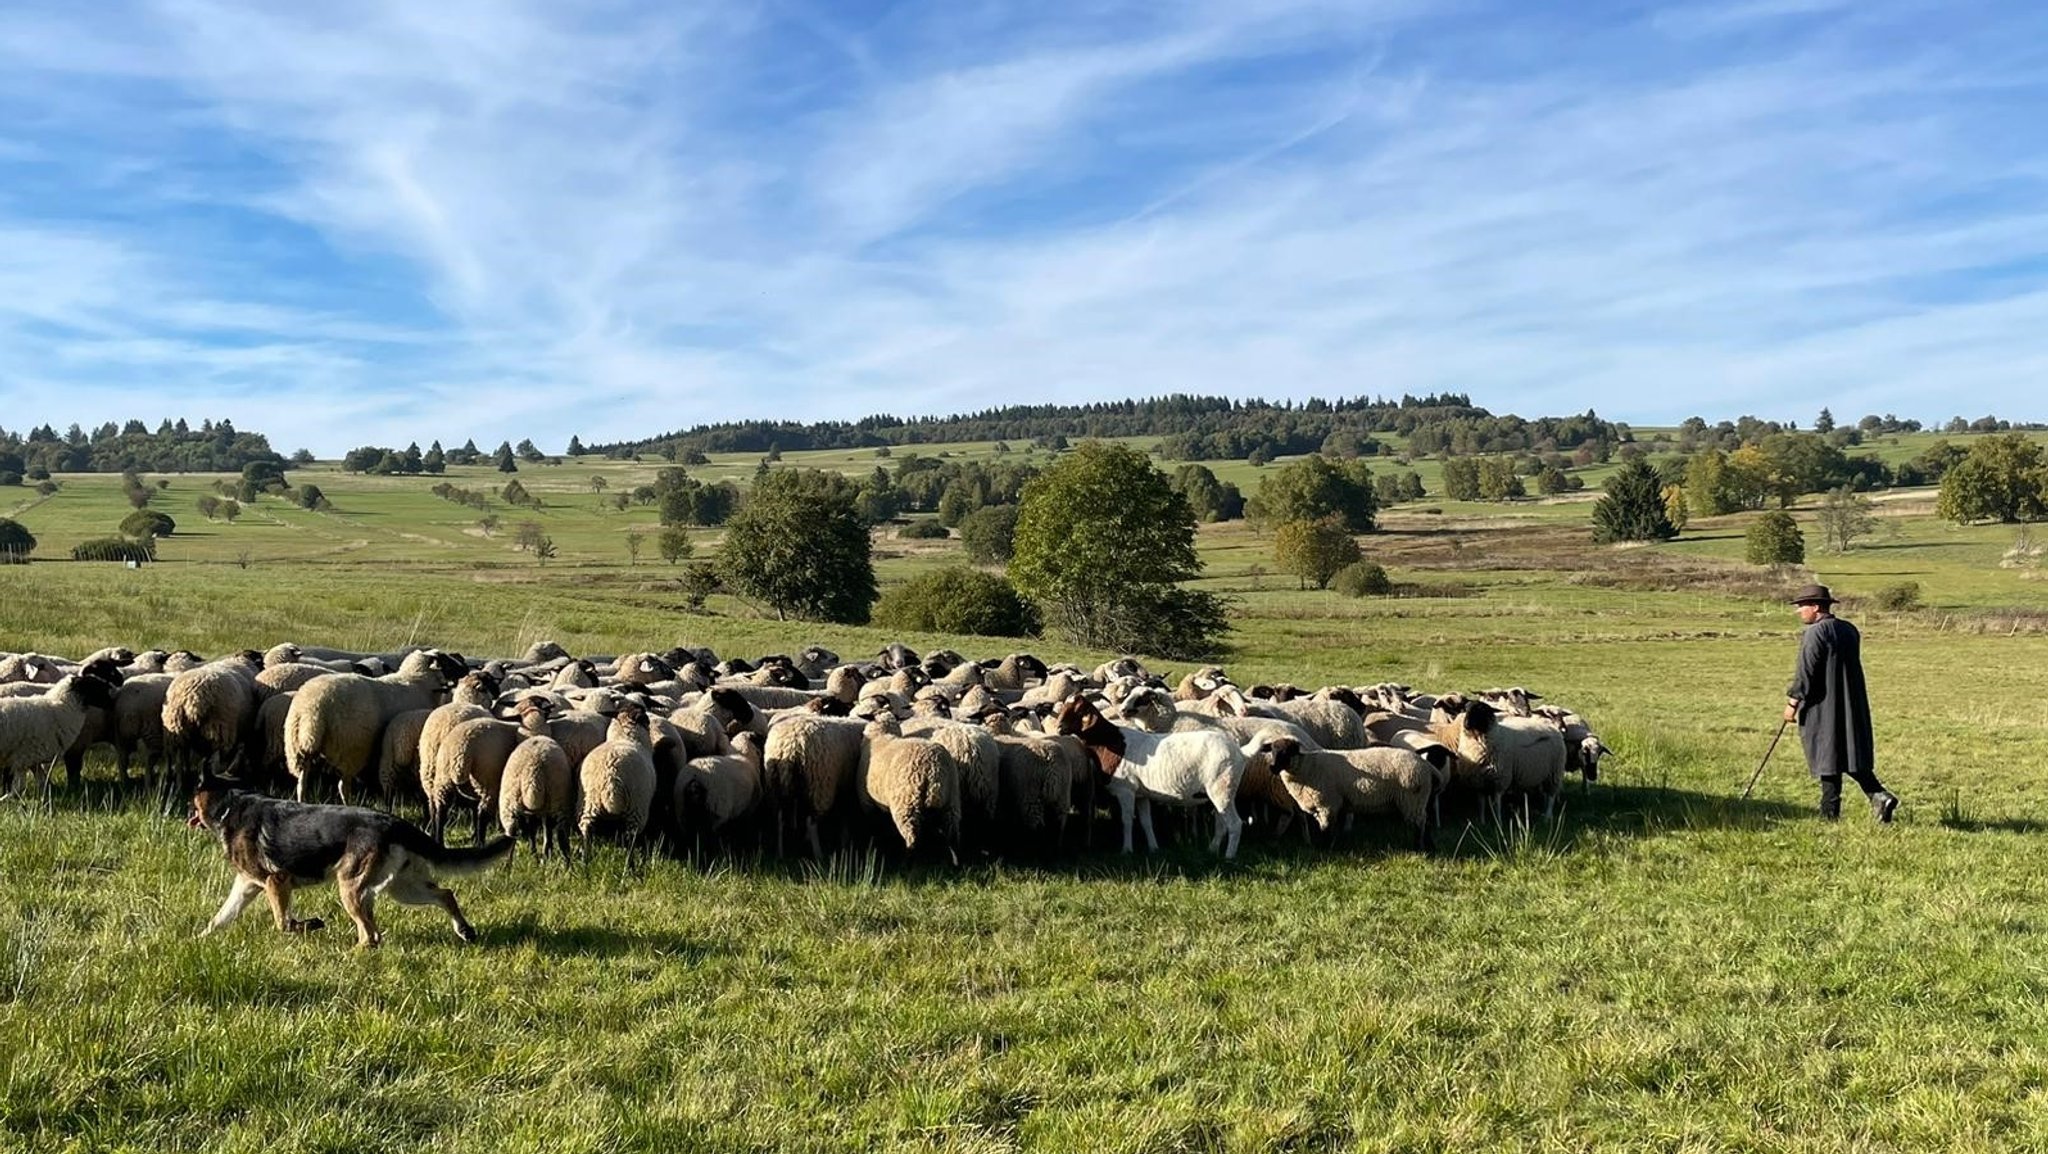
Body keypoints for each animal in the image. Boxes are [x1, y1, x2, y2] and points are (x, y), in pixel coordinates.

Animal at [192, 774, 516, 946]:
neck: (228, 805)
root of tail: (395, 823)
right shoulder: (247, 885)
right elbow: (219, 918)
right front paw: (199, 939)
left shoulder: (276, 881)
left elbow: (284, 923)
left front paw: (311, 924)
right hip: (401, 888)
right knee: (444, 895)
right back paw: (464, 930)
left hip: (351, 888)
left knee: (371, 934)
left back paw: (355, 953)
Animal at [286, 651, 466, 803]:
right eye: (446, 661)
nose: (465, 671)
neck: (418, 682)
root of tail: (312, 709)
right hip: (350, 748)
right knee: (343, 786)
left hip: (297, 751)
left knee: (302, 784)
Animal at [501, 696, 581, 856]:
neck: (535, 734)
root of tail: (533, 772)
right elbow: (546, 829)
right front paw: (545, 851)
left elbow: (536, 830)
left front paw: (540, 852)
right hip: (559, 804)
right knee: (560, 838)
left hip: (509, 809)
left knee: (512, 840)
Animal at [860, 717, 962, 860]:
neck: (881, 735)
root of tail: (934, 766)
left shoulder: (867, 803)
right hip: (951, 800)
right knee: (952, 835)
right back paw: (955, 862)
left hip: (907, 802)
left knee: (912, 838)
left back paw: (907, 860)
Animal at [1048, 696, 1253, 856]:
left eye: (1078, 711)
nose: (1059, 728)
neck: (1111, 743)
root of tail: (1241, 752)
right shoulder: (1142, 795)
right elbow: (1146, 822)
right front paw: (1154, 848)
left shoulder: (1126, 791)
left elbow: (1126, 820)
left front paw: (1126, 850)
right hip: (1220, 792)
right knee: (1221, 824)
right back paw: (1212, 850)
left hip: (1222, 788)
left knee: (1235, 824)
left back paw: (1228, 857)